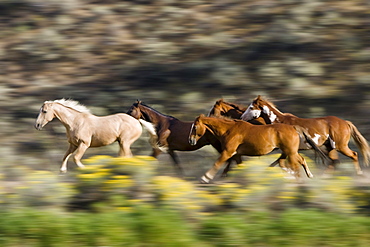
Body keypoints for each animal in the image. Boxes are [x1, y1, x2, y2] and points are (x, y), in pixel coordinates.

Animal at [189, 115, 326, 182]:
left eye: (195, 127)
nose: (191, 140)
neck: (229, 130)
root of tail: (293, 127)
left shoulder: (228, 152)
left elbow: (217, 163)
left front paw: (205, 178)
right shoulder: (236, 155)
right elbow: (238, 166)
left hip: (291, 152)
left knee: (298, 163)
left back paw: (304, 177)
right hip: (287, 152)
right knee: (287, 162)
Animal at [240, 95, 370, 175]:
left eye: (251, 107)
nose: (241, 117)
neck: (280, 121)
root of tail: (345, 122)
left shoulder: (289, 150)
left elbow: (281, 163)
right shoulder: (287, 151)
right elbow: (277, 163)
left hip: (340, 146)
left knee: (353, 155)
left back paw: (359, 174)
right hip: (330, 147)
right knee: (334, 162)